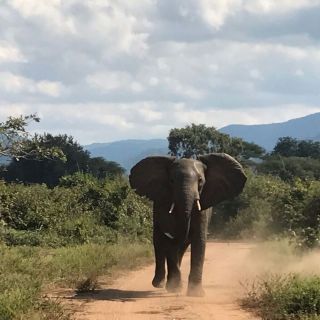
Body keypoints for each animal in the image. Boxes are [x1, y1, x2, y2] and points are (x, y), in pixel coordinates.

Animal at [129, 154, 246, 296]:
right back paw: (160, 284)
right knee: (159, 242)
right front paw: (175, 289)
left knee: (181, 246)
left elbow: (199, 240)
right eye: (172, 181)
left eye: (200, 181)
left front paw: (196, 294)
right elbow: (171, 241)